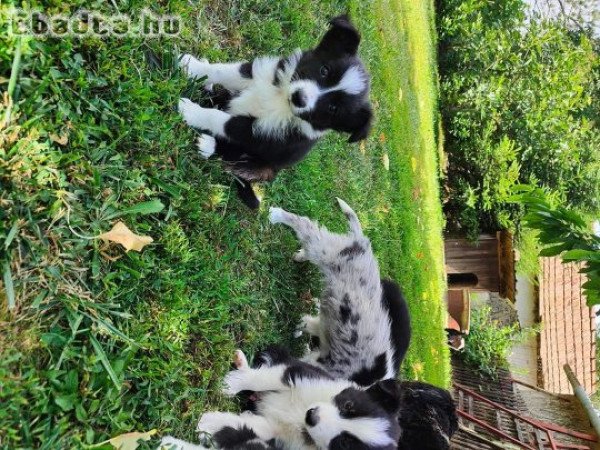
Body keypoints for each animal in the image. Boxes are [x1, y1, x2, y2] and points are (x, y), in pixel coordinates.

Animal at [177, 15, 370, 209]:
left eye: (333, 108)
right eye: (324, 70)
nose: (299, 98)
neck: (281, 99)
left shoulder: (261, 133)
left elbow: (222, 121)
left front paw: (190, 111)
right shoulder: (262, 73)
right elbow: (222, 72)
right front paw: (191, 66)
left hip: (266, 167)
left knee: (231, 157)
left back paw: (208, 145)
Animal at [270, 200, 410, 386]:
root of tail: (362, 242)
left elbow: (309, 324)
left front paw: (299, 326)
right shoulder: (322, 365)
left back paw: (299, 255)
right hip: (326, 251)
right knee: (306, 224)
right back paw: (276, 215)